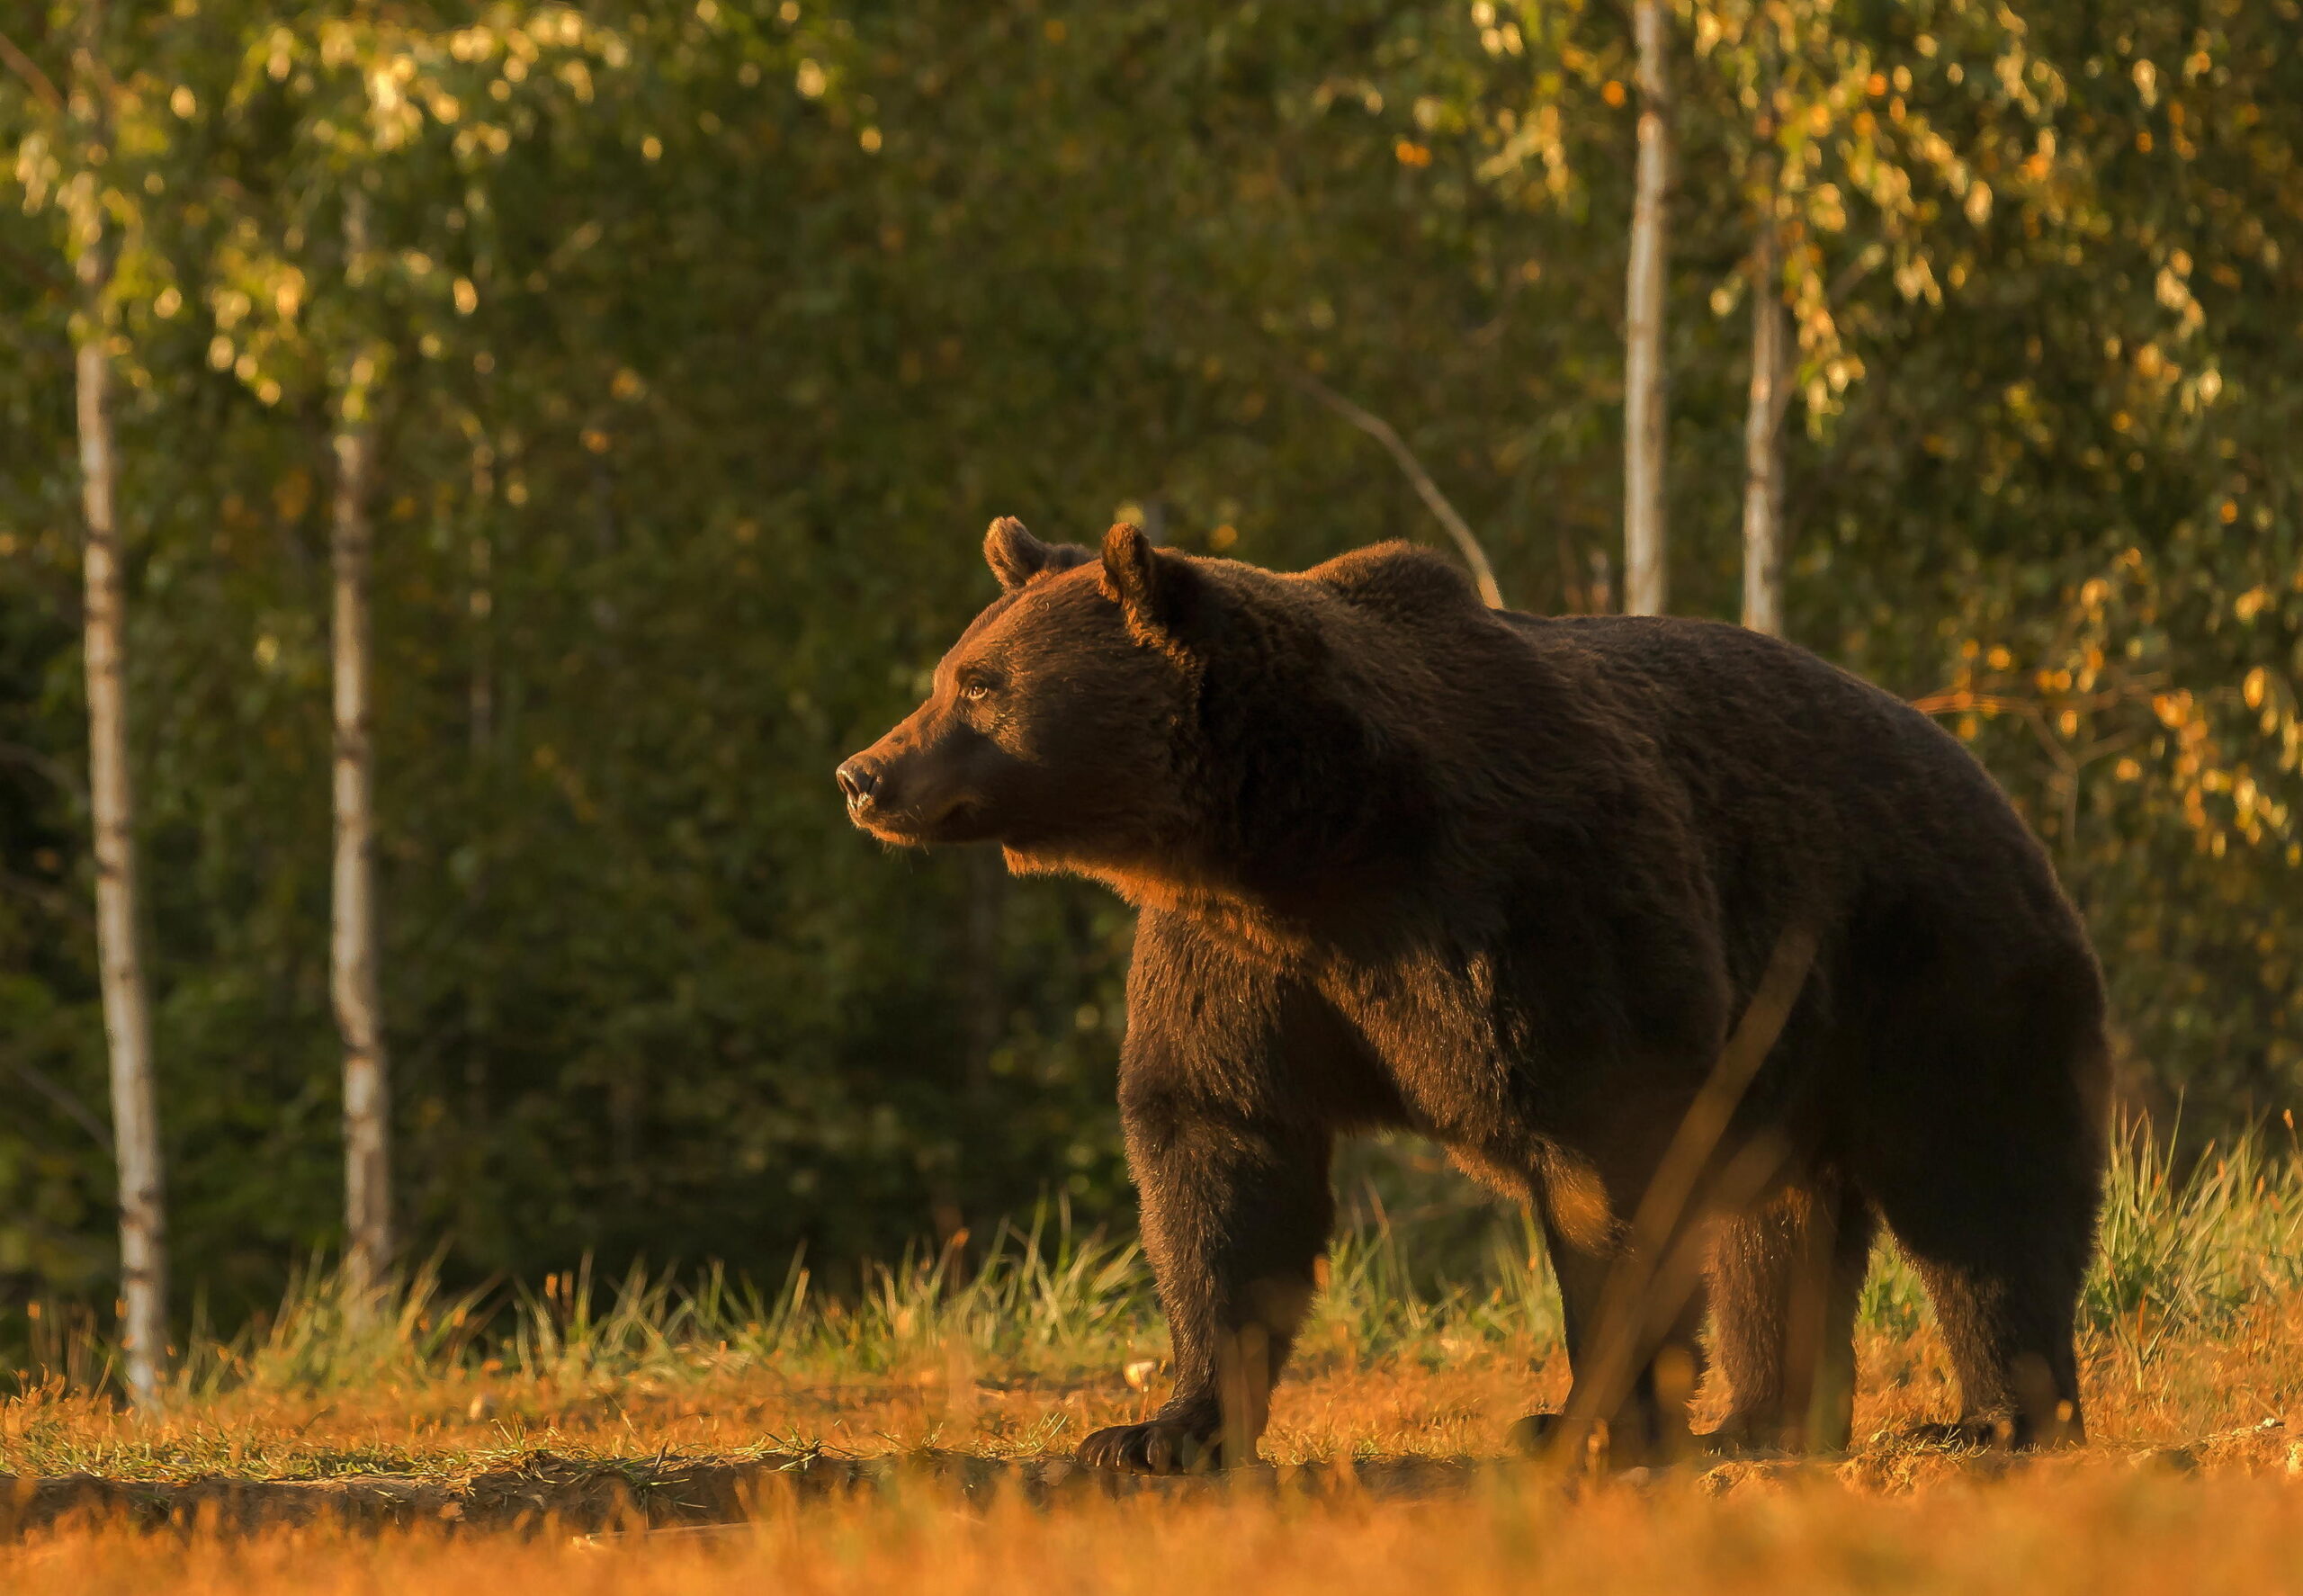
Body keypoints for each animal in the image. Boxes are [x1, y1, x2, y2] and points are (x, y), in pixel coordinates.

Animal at [838, 520, 2109, 1465]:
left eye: (980, 688)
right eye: (951, 672)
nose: (864, 772)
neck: (1309, 843)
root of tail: (1975, 769)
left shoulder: (1528, 906)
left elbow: (1612, 1169)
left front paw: (1588, 1415)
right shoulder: (1240, 963)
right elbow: (1220, 1153)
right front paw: (1160, 1427)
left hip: (1932, 961)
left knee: (1983, 1188)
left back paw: (1997, 1415)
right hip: (1792, 1041)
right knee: (1780, 1222)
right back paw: (1763, 1421)